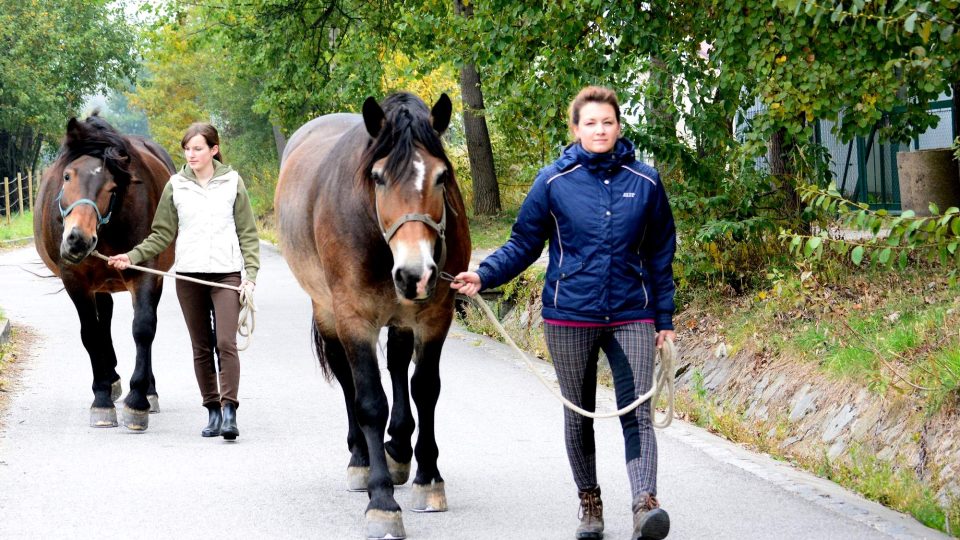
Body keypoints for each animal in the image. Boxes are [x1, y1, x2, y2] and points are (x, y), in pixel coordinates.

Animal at [34, 114, 176, 430]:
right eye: (67, 176)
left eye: (112, 187)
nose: (78, 240)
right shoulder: (76, 281)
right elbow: (90, 334)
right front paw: (101, 400)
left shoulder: (145, 272)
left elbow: (143, 328)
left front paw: (138, 401)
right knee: (103, 322)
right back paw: (110, 382)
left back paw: (147, 390)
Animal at [276, 94, 470, 540]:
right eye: (378, 178)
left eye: (442, 177)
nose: (416, 273)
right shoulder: (353, 318)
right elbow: (369, 401)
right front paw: (382, 502)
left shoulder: (434, 316)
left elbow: (425, 389)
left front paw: (428, 479)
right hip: (328, 312)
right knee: (348, 381)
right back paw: (362, 460)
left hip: (402, 315)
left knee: (397, 366)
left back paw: (397, 449)